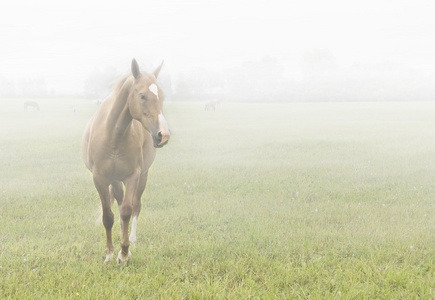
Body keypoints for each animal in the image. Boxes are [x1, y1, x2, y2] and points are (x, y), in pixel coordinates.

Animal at [82, 58, 170, 262]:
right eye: (142, 96)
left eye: (161, 95)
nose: (163, 135)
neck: (113, 135)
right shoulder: (100, 179)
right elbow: (108, 216)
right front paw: (109, 253)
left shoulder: (133, 176)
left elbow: (127, 211)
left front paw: (124, 253)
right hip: (114, 180)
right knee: (119, 203)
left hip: (142, 176)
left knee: (134, 206)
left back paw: (132, 237)